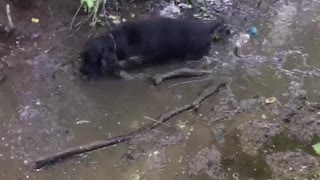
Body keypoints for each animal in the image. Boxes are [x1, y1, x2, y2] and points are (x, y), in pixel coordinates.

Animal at [80, 16, 230, 78]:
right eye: (83, 58)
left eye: (91, 60)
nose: (82, 71)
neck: (116, 39)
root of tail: (207, 26)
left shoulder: (143, 56)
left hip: (193, 53)